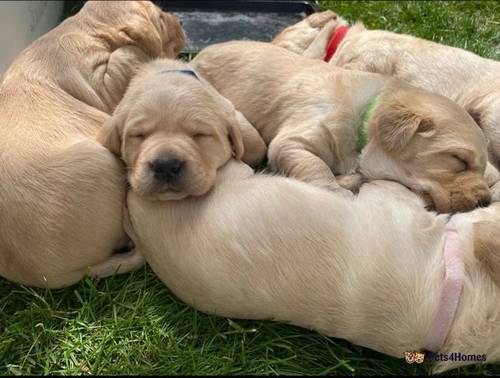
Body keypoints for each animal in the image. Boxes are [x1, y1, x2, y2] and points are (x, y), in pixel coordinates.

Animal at [0, 0, 185, 290]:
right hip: (101, 162)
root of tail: (57, 276)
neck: (85, 27)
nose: (181, 22)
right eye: (160, 15)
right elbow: (129, 55)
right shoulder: (103, 79)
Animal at [191, 41, 492, 213]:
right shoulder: (292, 141)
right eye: (458, 159)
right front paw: (337, 192)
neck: (364, 118)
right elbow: (316, 167)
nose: (486, 202)